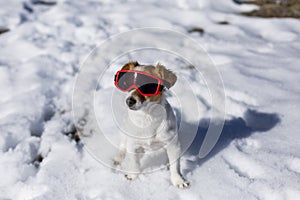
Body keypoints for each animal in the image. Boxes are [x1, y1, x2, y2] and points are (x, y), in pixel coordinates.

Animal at [112, 60, 190, 188]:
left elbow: (175, 166)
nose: (129, 101)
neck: (147, 118)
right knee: (123, 147)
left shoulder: (173, 145)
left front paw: (178, 180)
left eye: (148, 86)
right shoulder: (133, 144)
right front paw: (133, 176)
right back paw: (119, 157)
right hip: (124, 132)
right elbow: (134, 163)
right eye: (127, 82)